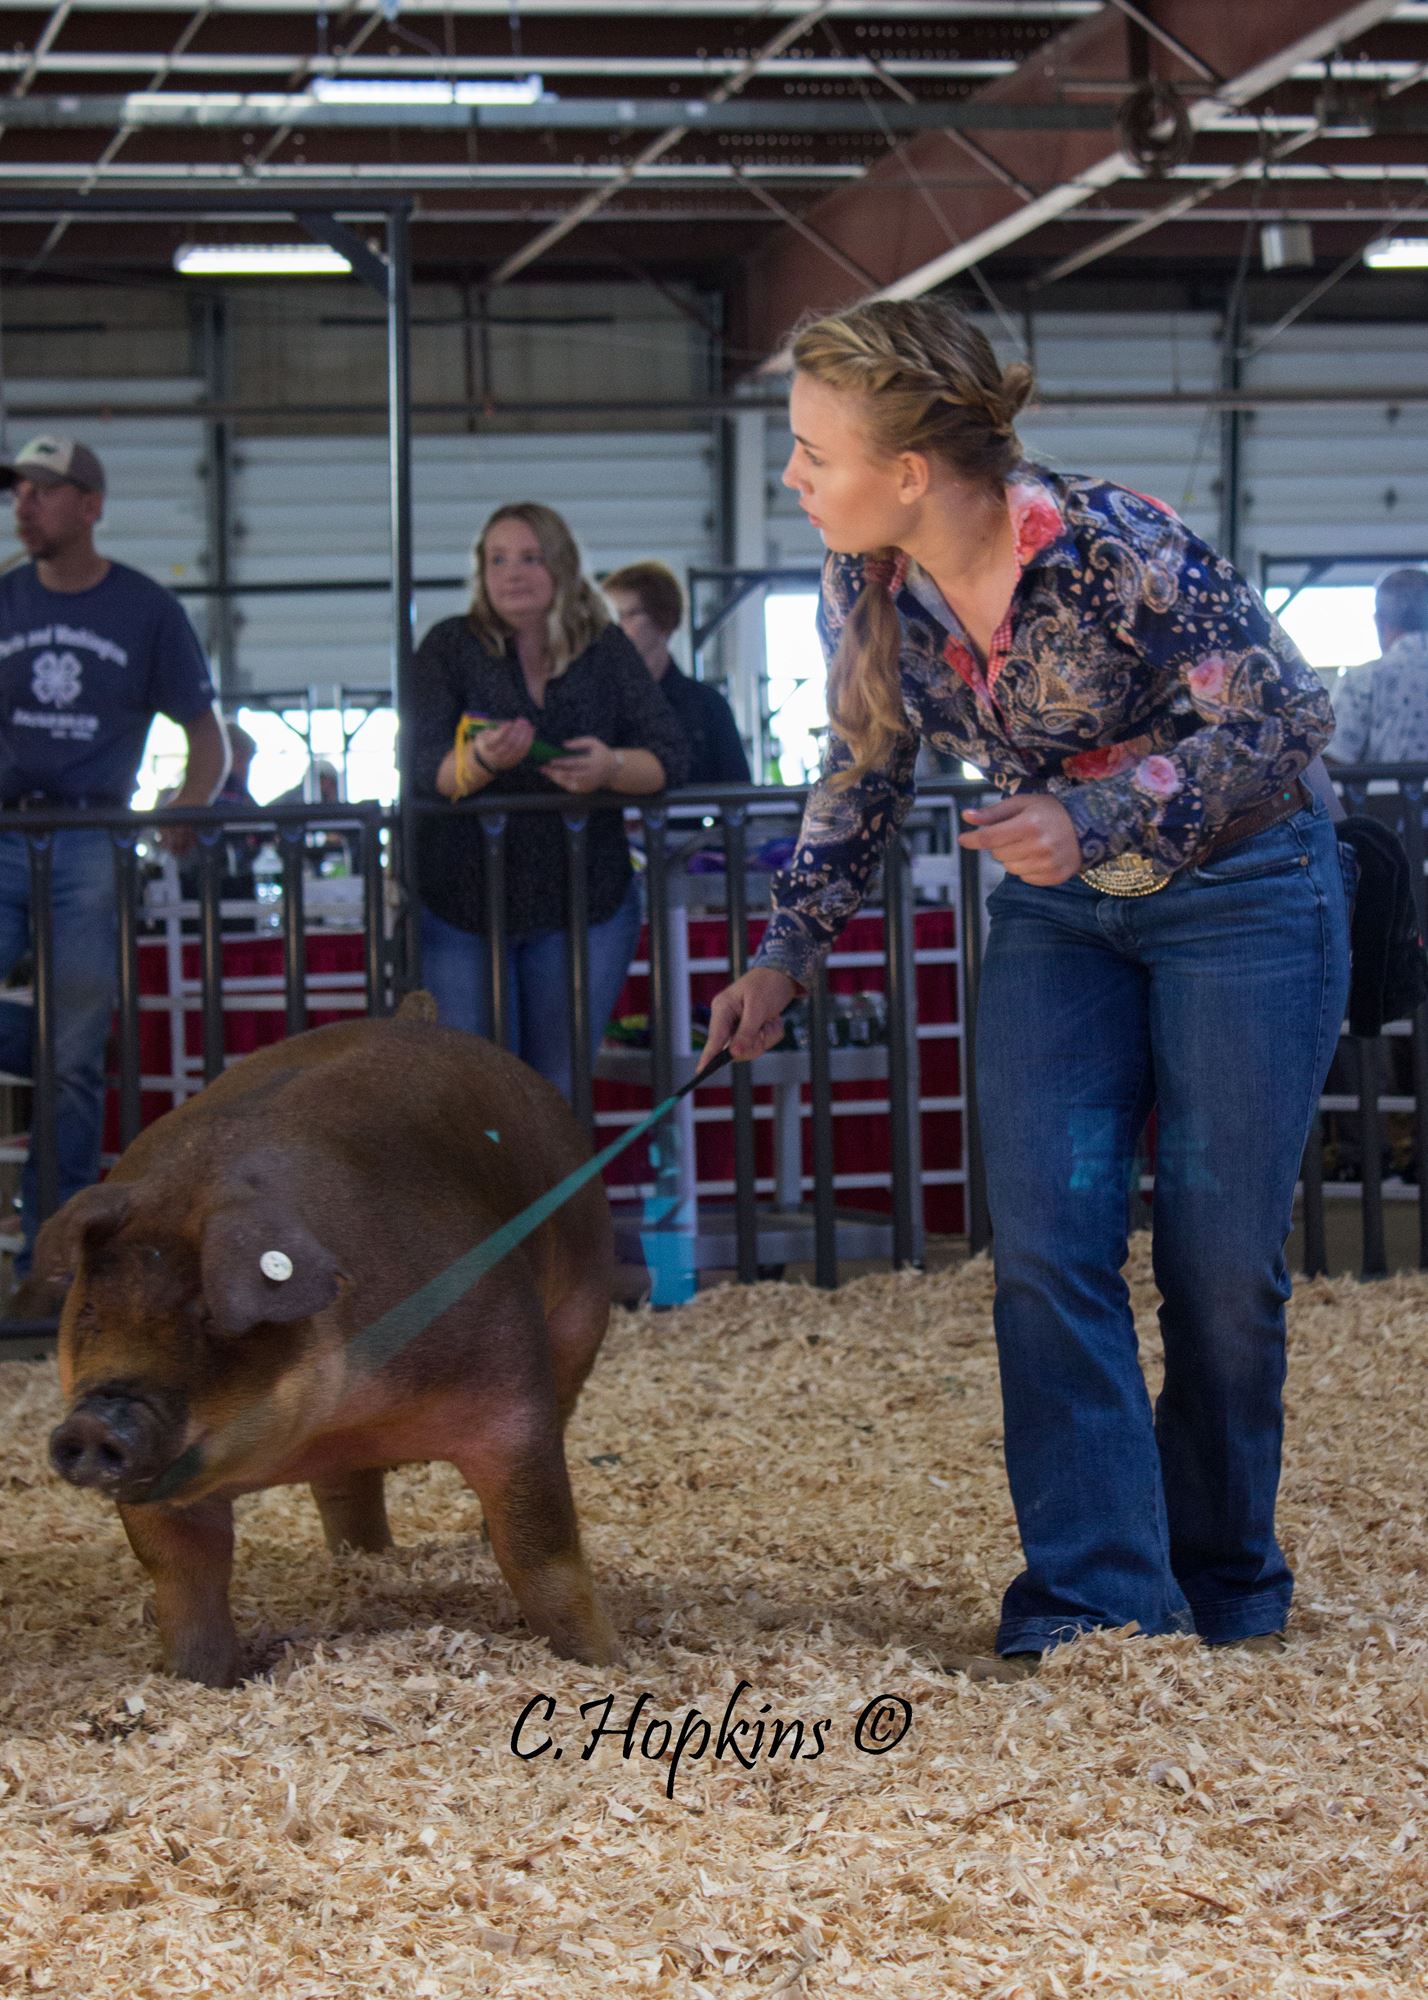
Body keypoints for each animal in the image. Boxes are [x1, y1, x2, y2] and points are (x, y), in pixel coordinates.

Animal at [37, 1000, 616, 1688]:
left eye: (207, 1316)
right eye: (91, 1311)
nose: (95, 1421)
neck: (337, 1416)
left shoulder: (510, 1395)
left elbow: (540, 1551)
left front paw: (604, 1662)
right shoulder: (161, 1492)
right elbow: (183, 1578)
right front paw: (198, 1681)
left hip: (582, 1310)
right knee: (345, 1488)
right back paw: (362, 1557)